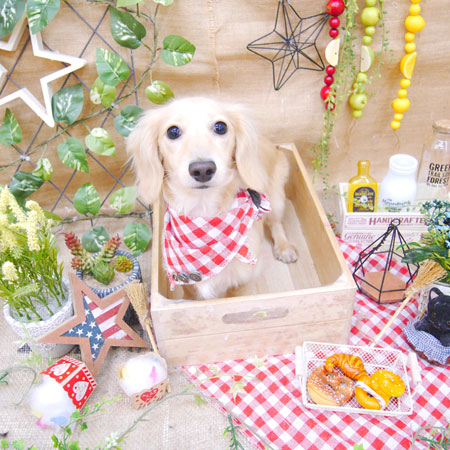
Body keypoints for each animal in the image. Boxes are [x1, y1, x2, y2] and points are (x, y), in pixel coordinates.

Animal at [126, 97, 297, 300]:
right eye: (172, 131)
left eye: (220, 127)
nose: (202, 169)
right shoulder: (189, 285)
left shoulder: (242, 282)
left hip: (275, 197)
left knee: (275, 223)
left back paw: (284, 247)